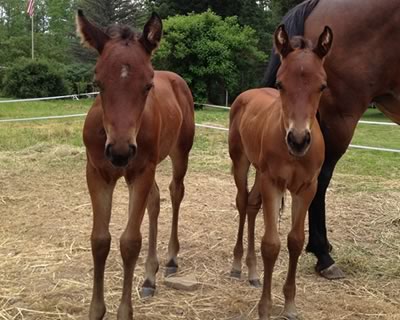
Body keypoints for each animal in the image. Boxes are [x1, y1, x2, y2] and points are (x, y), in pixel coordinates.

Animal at [77, 10, 195, 320]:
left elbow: (130, 242)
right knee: (155, 200)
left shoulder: (140, 172)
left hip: (179, 153)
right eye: (98, 83)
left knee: (175, 192)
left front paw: (123, 312)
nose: (120, 152)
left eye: (147, 85)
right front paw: (96, 310)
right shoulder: (97, 173)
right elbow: (100, 240)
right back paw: (149, 276)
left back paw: (170, 259)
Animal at [230, 25, 332, 320]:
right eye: (280, 84)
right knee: (243, 202)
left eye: (322, 86)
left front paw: (289, 306)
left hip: (260, 175)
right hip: (241, 162)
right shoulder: (272, 182)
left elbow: (295, 241)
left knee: (252, 205)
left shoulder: (307, 187)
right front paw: (265, 307)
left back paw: (253, 272)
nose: (298, 140)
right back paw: (238, 265)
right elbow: (271, 245)